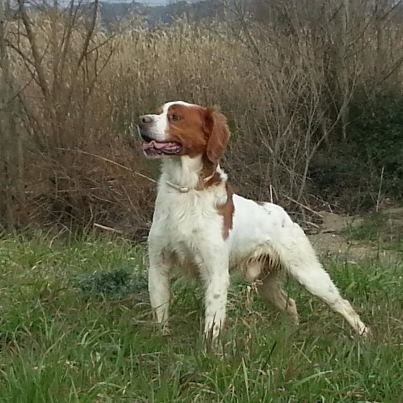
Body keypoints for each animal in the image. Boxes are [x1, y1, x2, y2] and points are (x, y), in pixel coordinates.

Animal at [138, 101, 369, 343]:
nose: (142, 120)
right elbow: (161, 314)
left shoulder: (216, 273)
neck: (186, 189)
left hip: (309, 273)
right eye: (158, 111)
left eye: (175, 117)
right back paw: (291, 332)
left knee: (343, 304)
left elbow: (212, 323)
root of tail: (283, 214)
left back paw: (365, 337)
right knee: (290, 303)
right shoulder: (158, 266)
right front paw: (161, 339)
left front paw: (210, 350)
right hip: (267, 284)